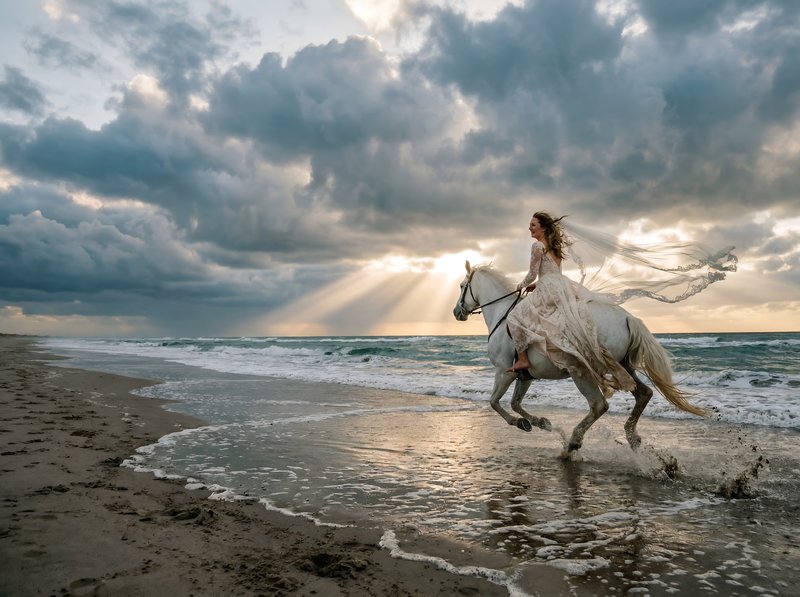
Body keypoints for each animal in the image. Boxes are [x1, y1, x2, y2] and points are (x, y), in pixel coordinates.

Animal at [453, 261, 705, 455]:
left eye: (462, 286)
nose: (456, 312)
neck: (502, 315)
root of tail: (627, 318)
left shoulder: (504, 372)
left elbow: (494, 402)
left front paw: (522, 423)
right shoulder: (525, 376)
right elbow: (515, 403)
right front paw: (540, 422)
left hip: (581, 371)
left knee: (599, 405)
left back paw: (573, 442)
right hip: (623, 367)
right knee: (644, 394)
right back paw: (633, 438)